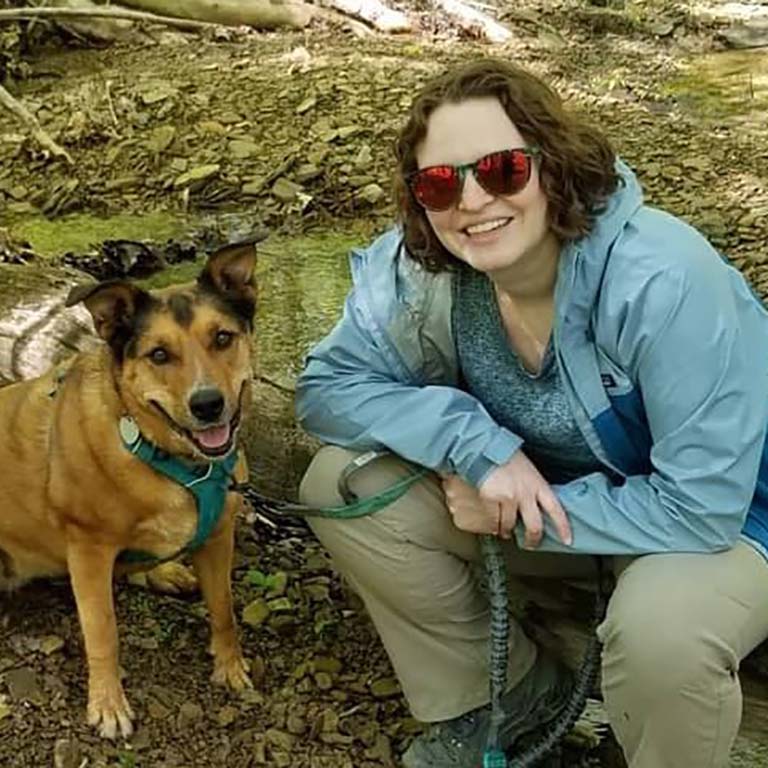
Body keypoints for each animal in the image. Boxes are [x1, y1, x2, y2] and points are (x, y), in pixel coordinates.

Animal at [0, 242, 258, 736]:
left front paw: (230, 666)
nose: (208, 404)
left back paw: (163, 571)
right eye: (158, 355)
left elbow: (224, 609)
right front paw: (108, 703)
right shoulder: (88, 549)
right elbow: (103, 631)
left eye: (222, 338)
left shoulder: (219, 536)